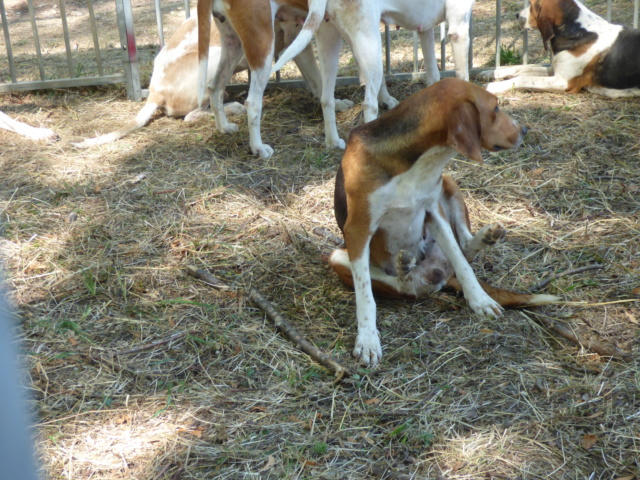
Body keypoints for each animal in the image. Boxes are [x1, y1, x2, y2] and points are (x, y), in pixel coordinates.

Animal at [74, 7, 348, 148]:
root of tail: (154, 92)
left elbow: (315, 80)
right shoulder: (294, 38)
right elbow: (318, 80)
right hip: (214, 56)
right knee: (194, 112)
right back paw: (234, 108)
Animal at [198, 0, 472, 158]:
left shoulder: (425, 30)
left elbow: (433, 77)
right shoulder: (458, 30)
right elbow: (463, 77)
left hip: (239, 44)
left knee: (214, 86)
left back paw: (224, 127)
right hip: (265, 45)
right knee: (253, 102)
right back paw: (258, 148)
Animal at [330, 78, 560, 364]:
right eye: (495, 108)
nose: (525, 130)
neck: (417, 163)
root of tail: (437, 274)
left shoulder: (433, 211)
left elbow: (462, 262)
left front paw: (480, 300)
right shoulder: (358, 229)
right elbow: (366, 294)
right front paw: (368, 340)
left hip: (449, 183)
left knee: (464, 248)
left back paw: (485, 238)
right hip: (337, 257)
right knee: (405, 289)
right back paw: (405, 270)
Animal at [482, 0, 640, 97]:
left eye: (532, 5)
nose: (517, 15)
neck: (579, 32)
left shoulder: (563, 81)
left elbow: (523, 78)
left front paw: (492, 86)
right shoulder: (554, 69)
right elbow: (519, 68)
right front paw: (490, 73)